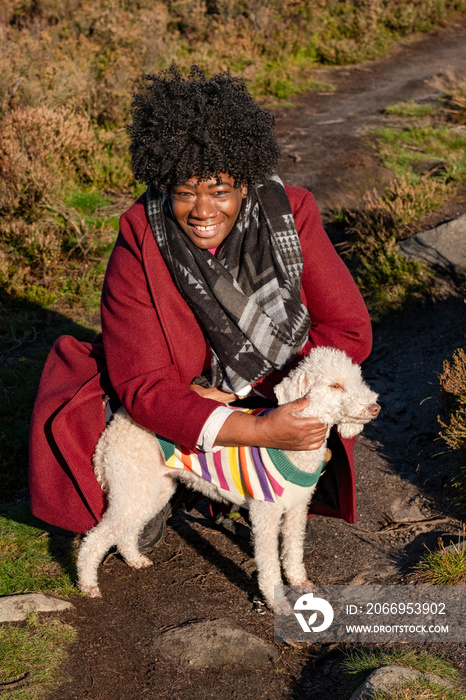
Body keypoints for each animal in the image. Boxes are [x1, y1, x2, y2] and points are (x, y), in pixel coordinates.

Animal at [77, 348, 378, 608]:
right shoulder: (265, 514)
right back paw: (88, 584)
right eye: (335, 386)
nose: (374, 408)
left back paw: (134, 559)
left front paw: (299, 582)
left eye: (358, 380)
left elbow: (293, 551)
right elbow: (268, 562)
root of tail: (116, 424)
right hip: (132, 484)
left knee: (128, 530)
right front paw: (277, 604)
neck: (296, 453)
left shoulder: (296, 509)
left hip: (152, 488)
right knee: (94, 540)